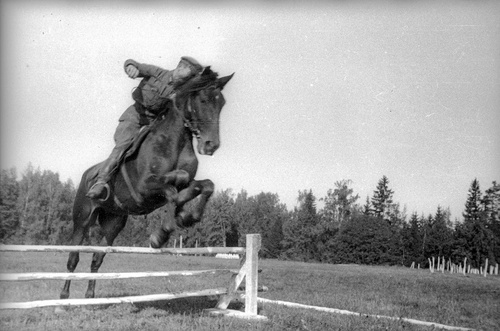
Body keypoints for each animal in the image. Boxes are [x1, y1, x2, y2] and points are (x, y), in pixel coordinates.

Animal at [60, 67, 234, 300]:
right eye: (203, 100)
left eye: (221, 103)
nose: (211, 145)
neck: (175, 141)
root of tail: (86, 176)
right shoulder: (144, 189)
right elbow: (173, 191)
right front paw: (161, 234)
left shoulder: (185, 184)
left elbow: (204, 186)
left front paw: (187, 216)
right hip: (82, 220)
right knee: (73, 258)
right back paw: (63, 297)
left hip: (113, 224)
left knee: (97, 258)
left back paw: (89, 296)